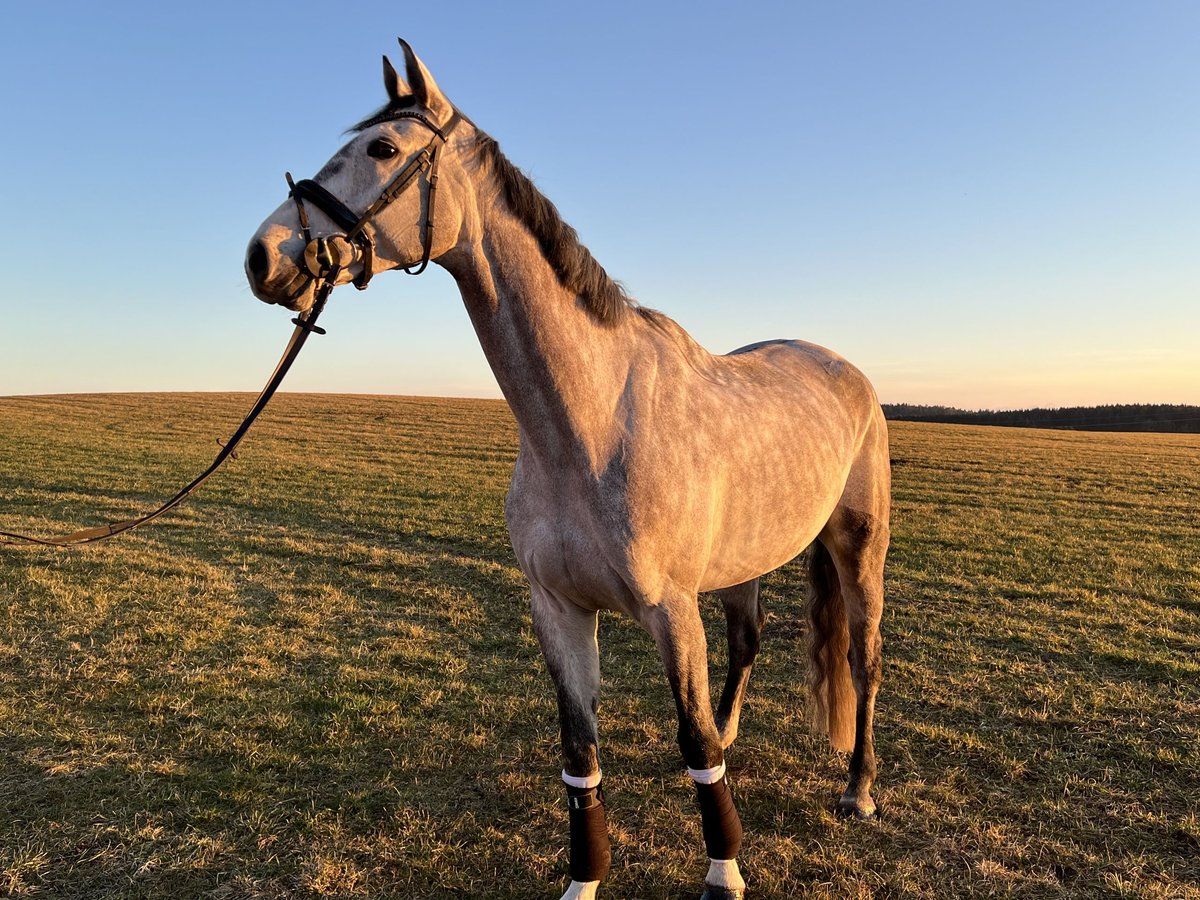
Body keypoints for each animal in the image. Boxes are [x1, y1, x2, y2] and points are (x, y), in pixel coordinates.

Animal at [243, 40, 892, 900]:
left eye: (381, 148)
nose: (261, 257)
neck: (588, 421)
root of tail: (844, 369)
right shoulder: (558, 609)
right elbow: (581, 753)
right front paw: (585, 878)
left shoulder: (669, 611)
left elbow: (692, 741)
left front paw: (724, 870)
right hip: (742, 565)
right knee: (749, 644)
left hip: (858, 550)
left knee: (863, 659)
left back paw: (858, 789)